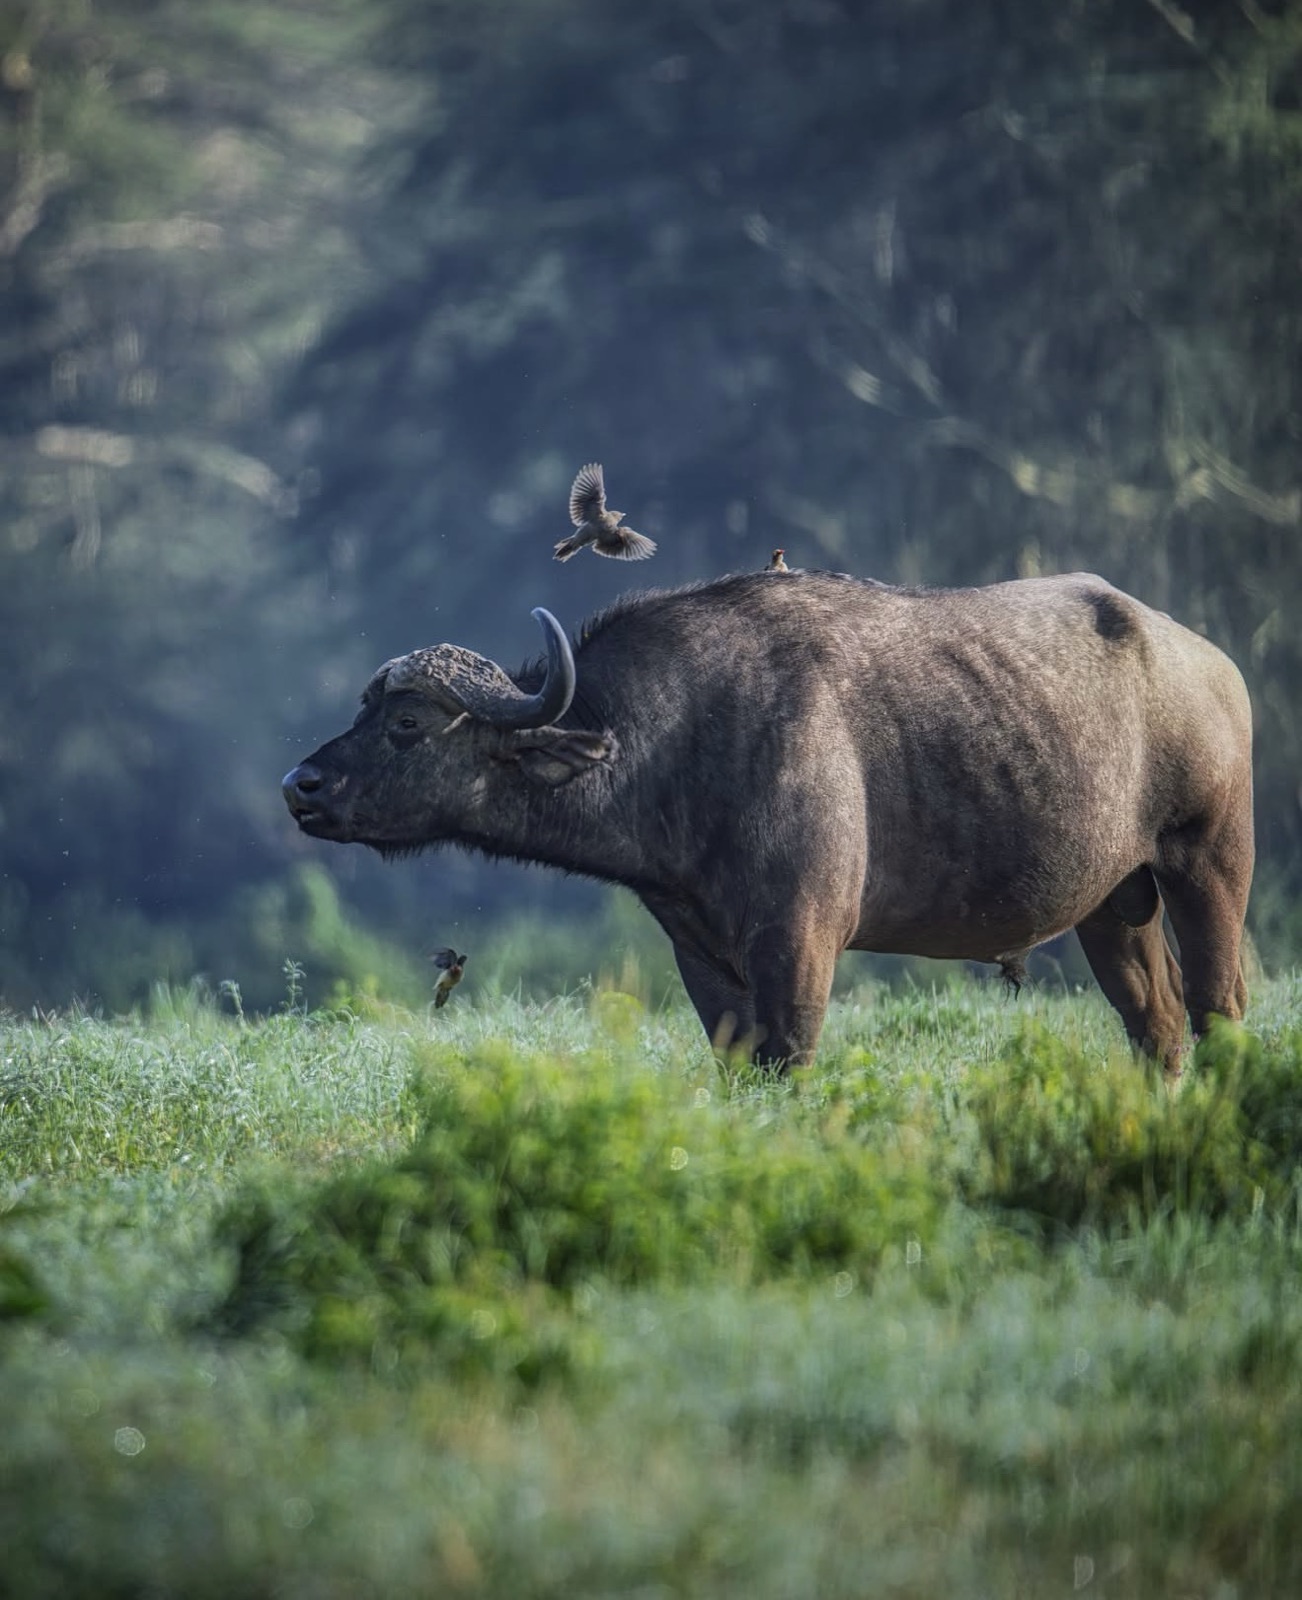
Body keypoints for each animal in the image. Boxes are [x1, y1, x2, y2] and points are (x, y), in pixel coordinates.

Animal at [282, 570, 1253, 1072]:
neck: (682, 738)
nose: (301, 784)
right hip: (1114, 903)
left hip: (1209, 864)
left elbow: (789, 1062)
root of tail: (1208, 661)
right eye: (366, 708)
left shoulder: (801, 943)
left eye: (409, 723)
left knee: (1219, 1004)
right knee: (1157, 1024)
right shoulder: (703, 956)